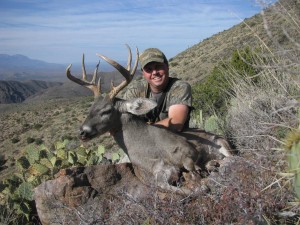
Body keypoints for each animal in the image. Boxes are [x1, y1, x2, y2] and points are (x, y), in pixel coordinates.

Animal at [67, 44, 233, 195]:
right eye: (90, 109)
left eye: (106, 110)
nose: (82, 132)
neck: (147, 149)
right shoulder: (154, 173)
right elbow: (166, 187)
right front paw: (201, 182)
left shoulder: (188, 149)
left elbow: (191, 170)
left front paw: (202, 181)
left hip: (223, 143)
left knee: (232, 158)